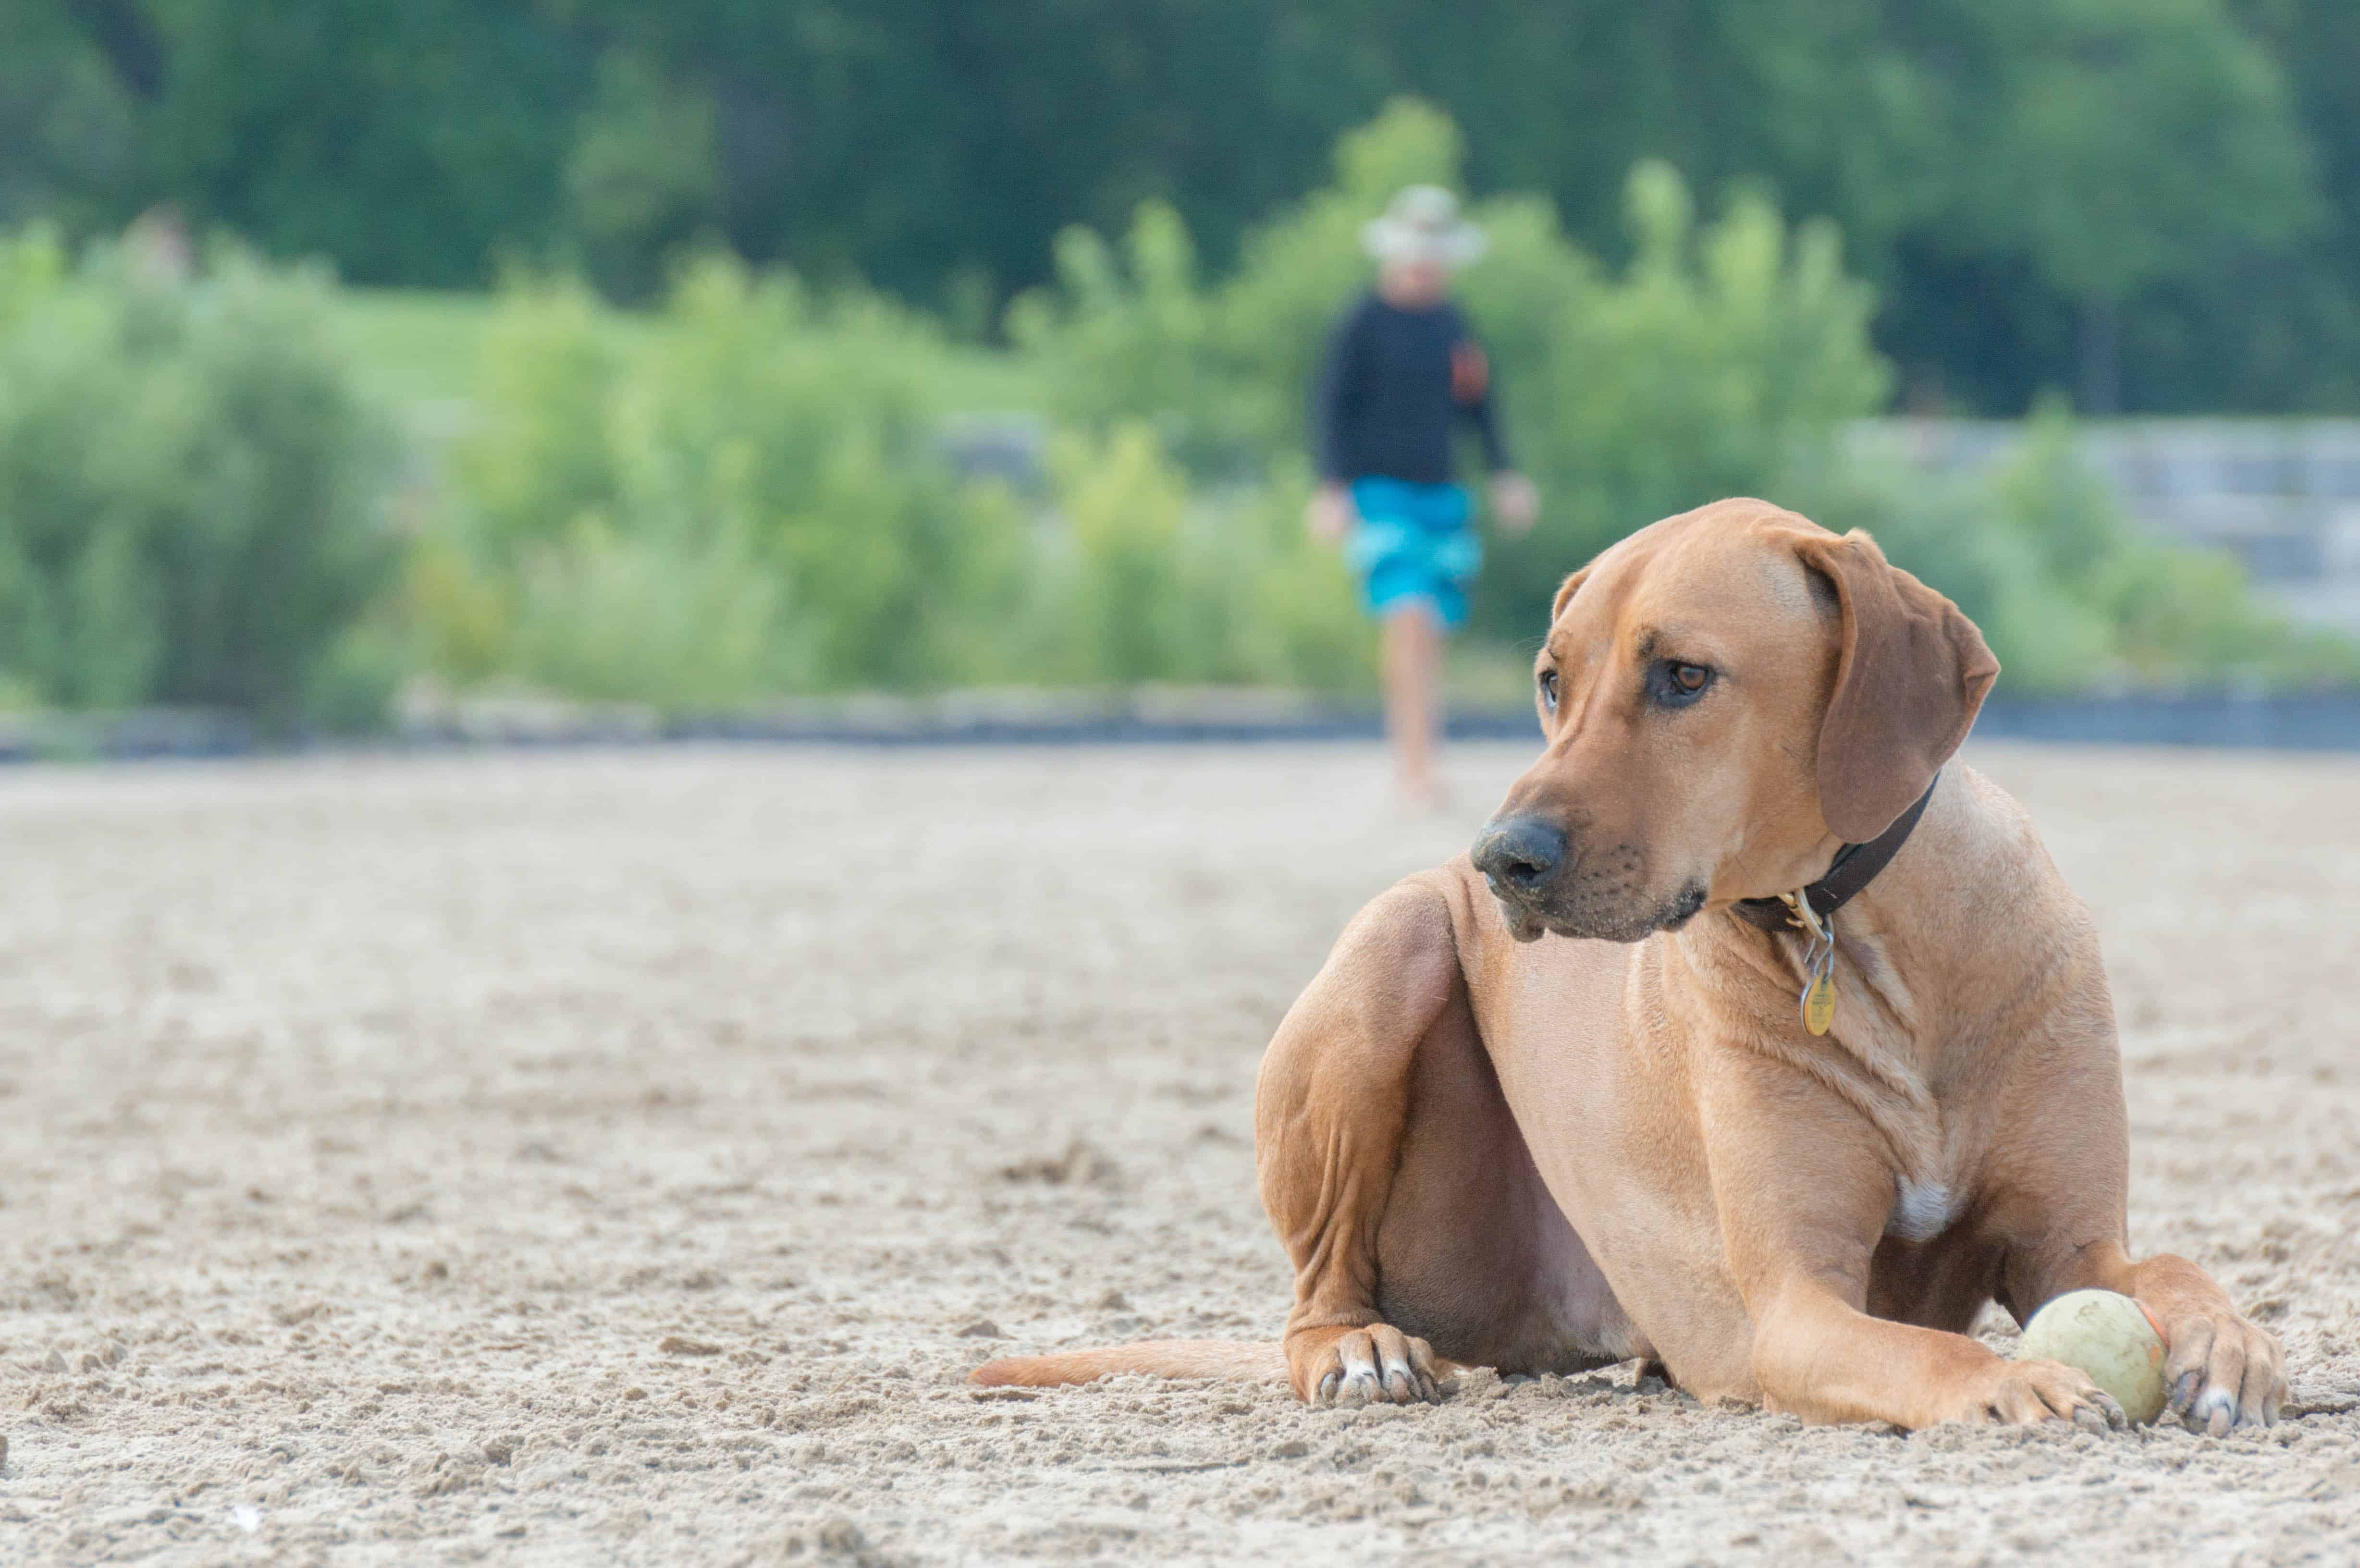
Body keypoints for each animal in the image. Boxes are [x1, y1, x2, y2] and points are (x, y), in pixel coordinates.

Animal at [977, 503, 2284, 1435]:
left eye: (1682, 676)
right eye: (1550, 680)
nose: (1500, 859)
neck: (1856, 930)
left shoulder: (2072, 1245)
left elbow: (2168, 1269)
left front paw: (2228, 1341)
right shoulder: (1795, 1303)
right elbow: (1926, 1347)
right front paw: (2011, 1383)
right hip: (1388, 956)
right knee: (1315, 1292)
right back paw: (1358, 1348)